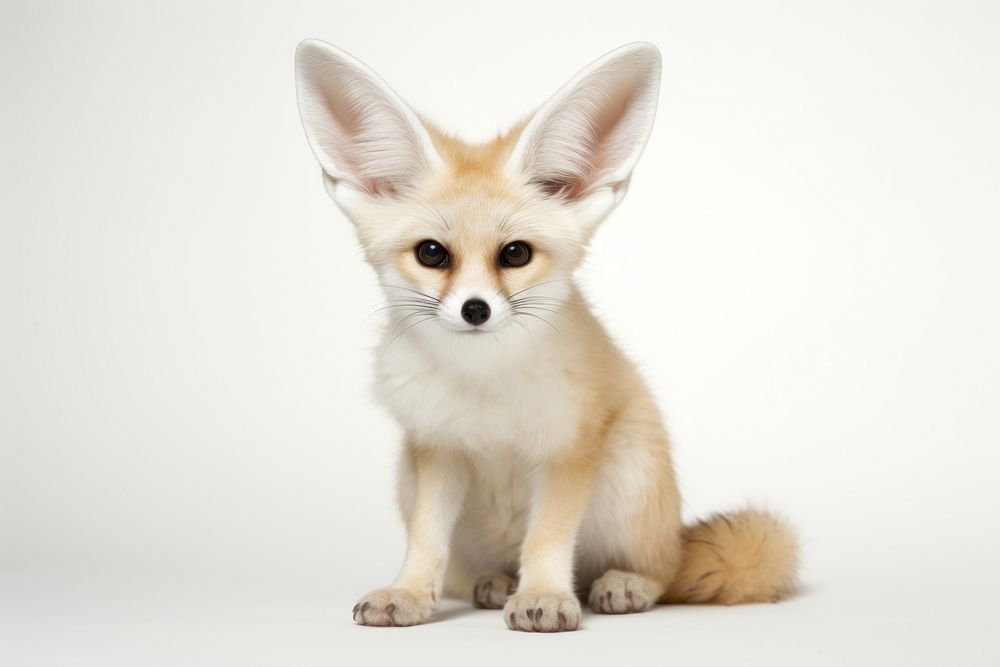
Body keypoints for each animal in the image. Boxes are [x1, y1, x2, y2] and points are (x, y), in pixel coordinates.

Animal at [294, 39, 798, 632]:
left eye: (515, 254)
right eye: (432, 254)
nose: (475, 309)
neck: (485, 382)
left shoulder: (568, 448)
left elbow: (549, 538)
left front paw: (545, 595)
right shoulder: (436, 447)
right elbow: (425, 539)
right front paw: (411, 592)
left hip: (632, 476)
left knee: (663, 572)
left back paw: (622, 583)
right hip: (416, 485)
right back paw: (497, 584)